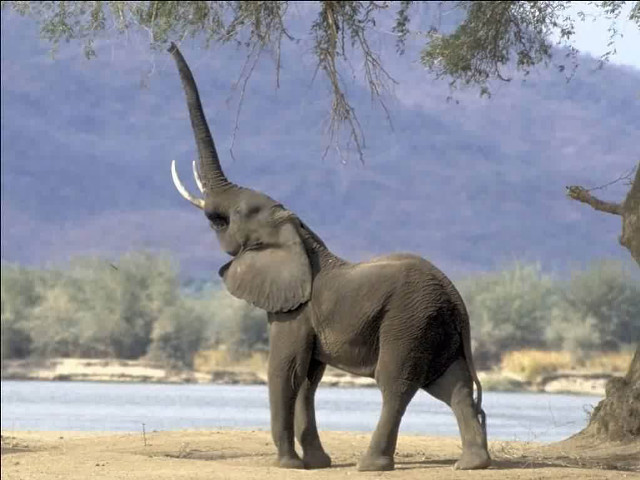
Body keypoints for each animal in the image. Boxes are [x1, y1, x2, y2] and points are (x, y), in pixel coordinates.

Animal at [166, 42, 491, 472]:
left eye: (229, 217)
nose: (169, 44)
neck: (299, 234)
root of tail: (458, 302)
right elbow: (308, 378)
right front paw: (316, 463)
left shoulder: (294, 310)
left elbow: (285, 371)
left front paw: (287, 465)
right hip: (436, 326)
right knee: (451, 384)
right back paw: (473, 464)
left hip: (410, 320)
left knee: (396, 383)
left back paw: (372, 465)